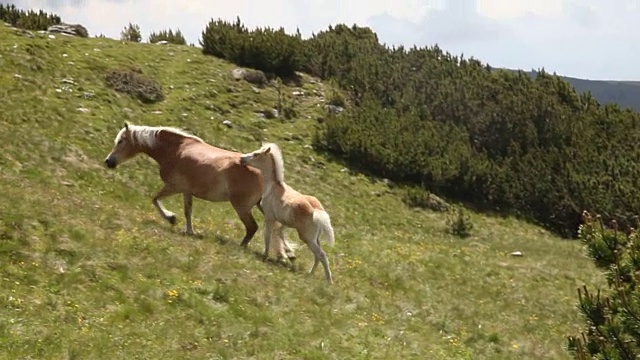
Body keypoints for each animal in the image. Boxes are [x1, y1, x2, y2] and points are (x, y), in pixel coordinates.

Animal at [103, 121, 298, 256]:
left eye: (121, 141)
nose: (109, 162)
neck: (175, 150)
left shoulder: (174, 187)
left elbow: (155, 199)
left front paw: (171, 218)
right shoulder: (187, 191)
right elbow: (188, 210)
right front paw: (189, 230)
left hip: (242, 207)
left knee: (252, 227)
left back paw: (241, 248)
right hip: (261, 206)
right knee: (275, 228)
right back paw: (287, 254)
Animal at [240, 142, 336, 282]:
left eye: (256, 154)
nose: (242, 158)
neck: (273, 187)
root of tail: (317, 212)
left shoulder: (269, 217)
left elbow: (268, 235)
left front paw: (265, 255)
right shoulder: (283, 222)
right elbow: (280, 233)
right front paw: (289, 254)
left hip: (307, 238)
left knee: (322, 254)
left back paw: (329, 281)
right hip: (315, 238)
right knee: (318, 255)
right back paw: (310, 273)